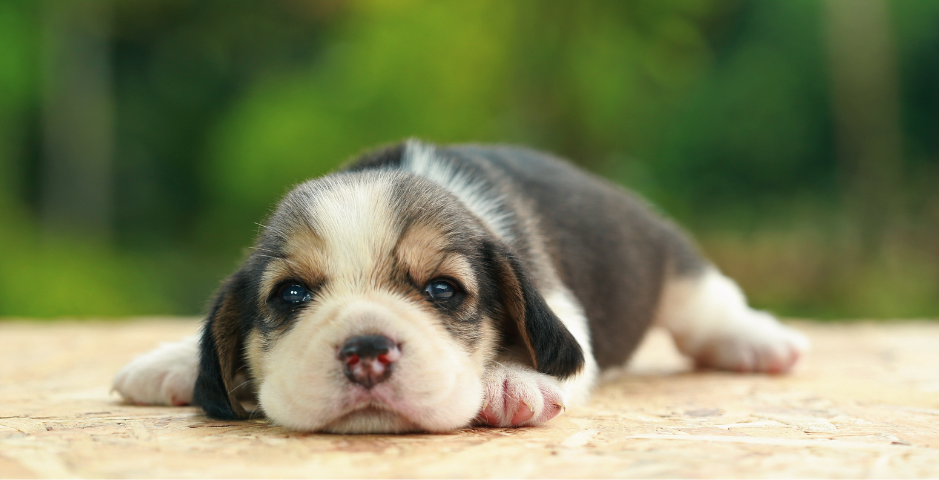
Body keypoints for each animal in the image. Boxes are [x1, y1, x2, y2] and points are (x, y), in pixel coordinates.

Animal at [114, 141, 808, 434]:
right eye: (290, 295)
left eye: (444, 290)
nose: (367, 352)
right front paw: (173, 361)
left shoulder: (562, 304)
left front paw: (508, 381)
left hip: (672, 264)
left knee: (706, 305)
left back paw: (757, 340)